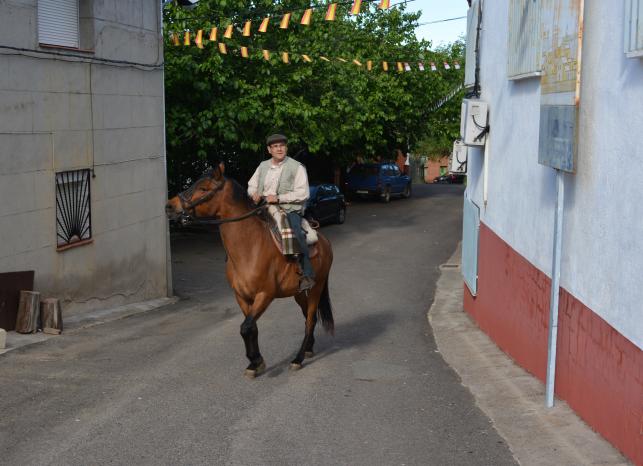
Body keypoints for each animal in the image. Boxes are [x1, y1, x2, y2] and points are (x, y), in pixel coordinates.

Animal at [165, 163, 334, 377]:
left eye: (203, 188)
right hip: (298, 292)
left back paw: (298, 359)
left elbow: (246, 327)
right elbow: (250, 327)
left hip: (316, 288)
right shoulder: (242, 297)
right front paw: (255, 363)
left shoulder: (265, 295)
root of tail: (324, 241)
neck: (250, 248)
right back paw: (308, 349)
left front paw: (255, 361)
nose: (169, 206)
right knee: (306, 316)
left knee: (310, 320)